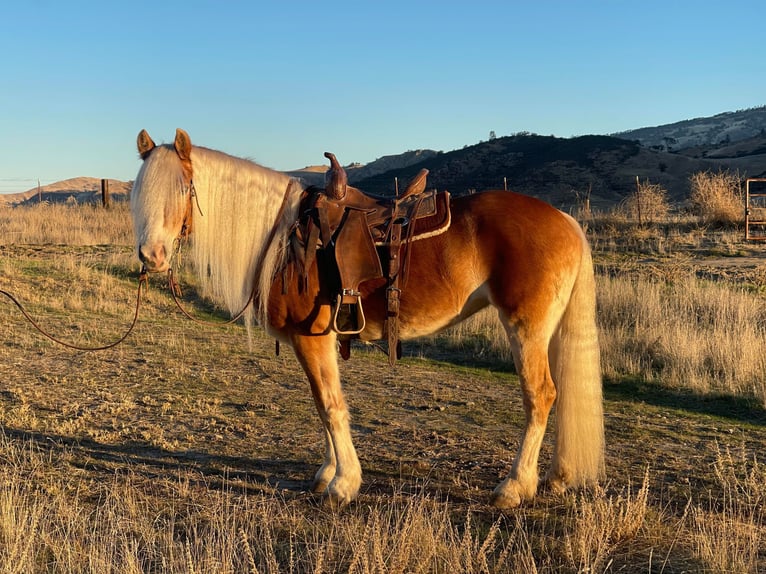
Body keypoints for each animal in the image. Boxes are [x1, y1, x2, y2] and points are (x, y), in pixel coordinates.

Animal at [134, 129, 608, 508]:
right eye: (139, 192)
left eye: (182, 189)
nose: (151, 256)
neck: (285, 237)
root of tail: (566, 220)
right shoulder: (319, 340)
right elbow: (323, 403)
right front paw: (328, 472)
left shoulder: (311, 337)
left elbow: (330, 405)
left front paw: (343, 485)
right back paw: (557, 477)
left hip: (527, 330)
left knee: (541, 396)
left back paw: (514, 487)